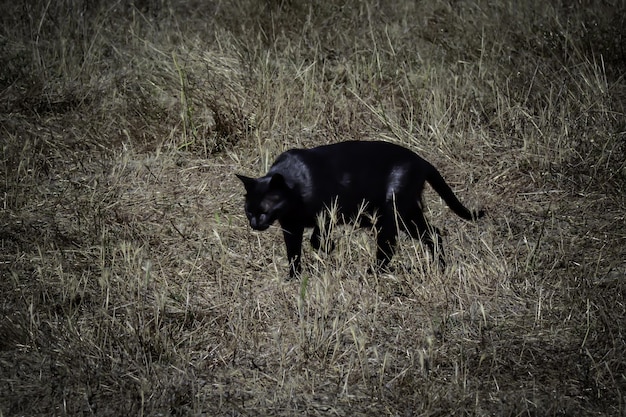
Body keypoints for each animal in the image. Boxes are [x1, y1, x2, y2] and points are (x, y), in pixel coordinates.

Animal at [234, 141, 482, 280]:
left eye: (263, 210)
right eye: (248, 211)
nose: (254, 224)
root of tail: (422, 161)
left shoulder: (329, 213)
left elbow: (316, 239)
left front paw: (329, 247)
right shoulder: (291, 228)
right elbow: (293, 254)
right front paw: (294, 278)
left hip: (393, 214)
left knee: (389, 246)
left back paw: (373, 272)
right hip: (409, 215)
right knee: (433, 234)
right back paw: (439, 267)